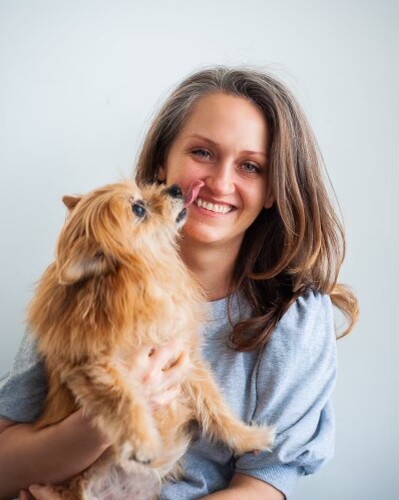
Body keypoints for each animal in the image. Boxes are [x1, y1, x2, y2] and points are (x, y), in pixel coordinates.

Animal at [28, 182, 276, 498]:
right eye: (138, 209)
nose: (175, 188)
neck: (142, 280)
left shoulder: (183, 356)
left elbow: (216, 407)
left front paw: (249, 438)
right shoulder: (93, 366)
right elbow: (125, 398)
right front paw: (142, 442)